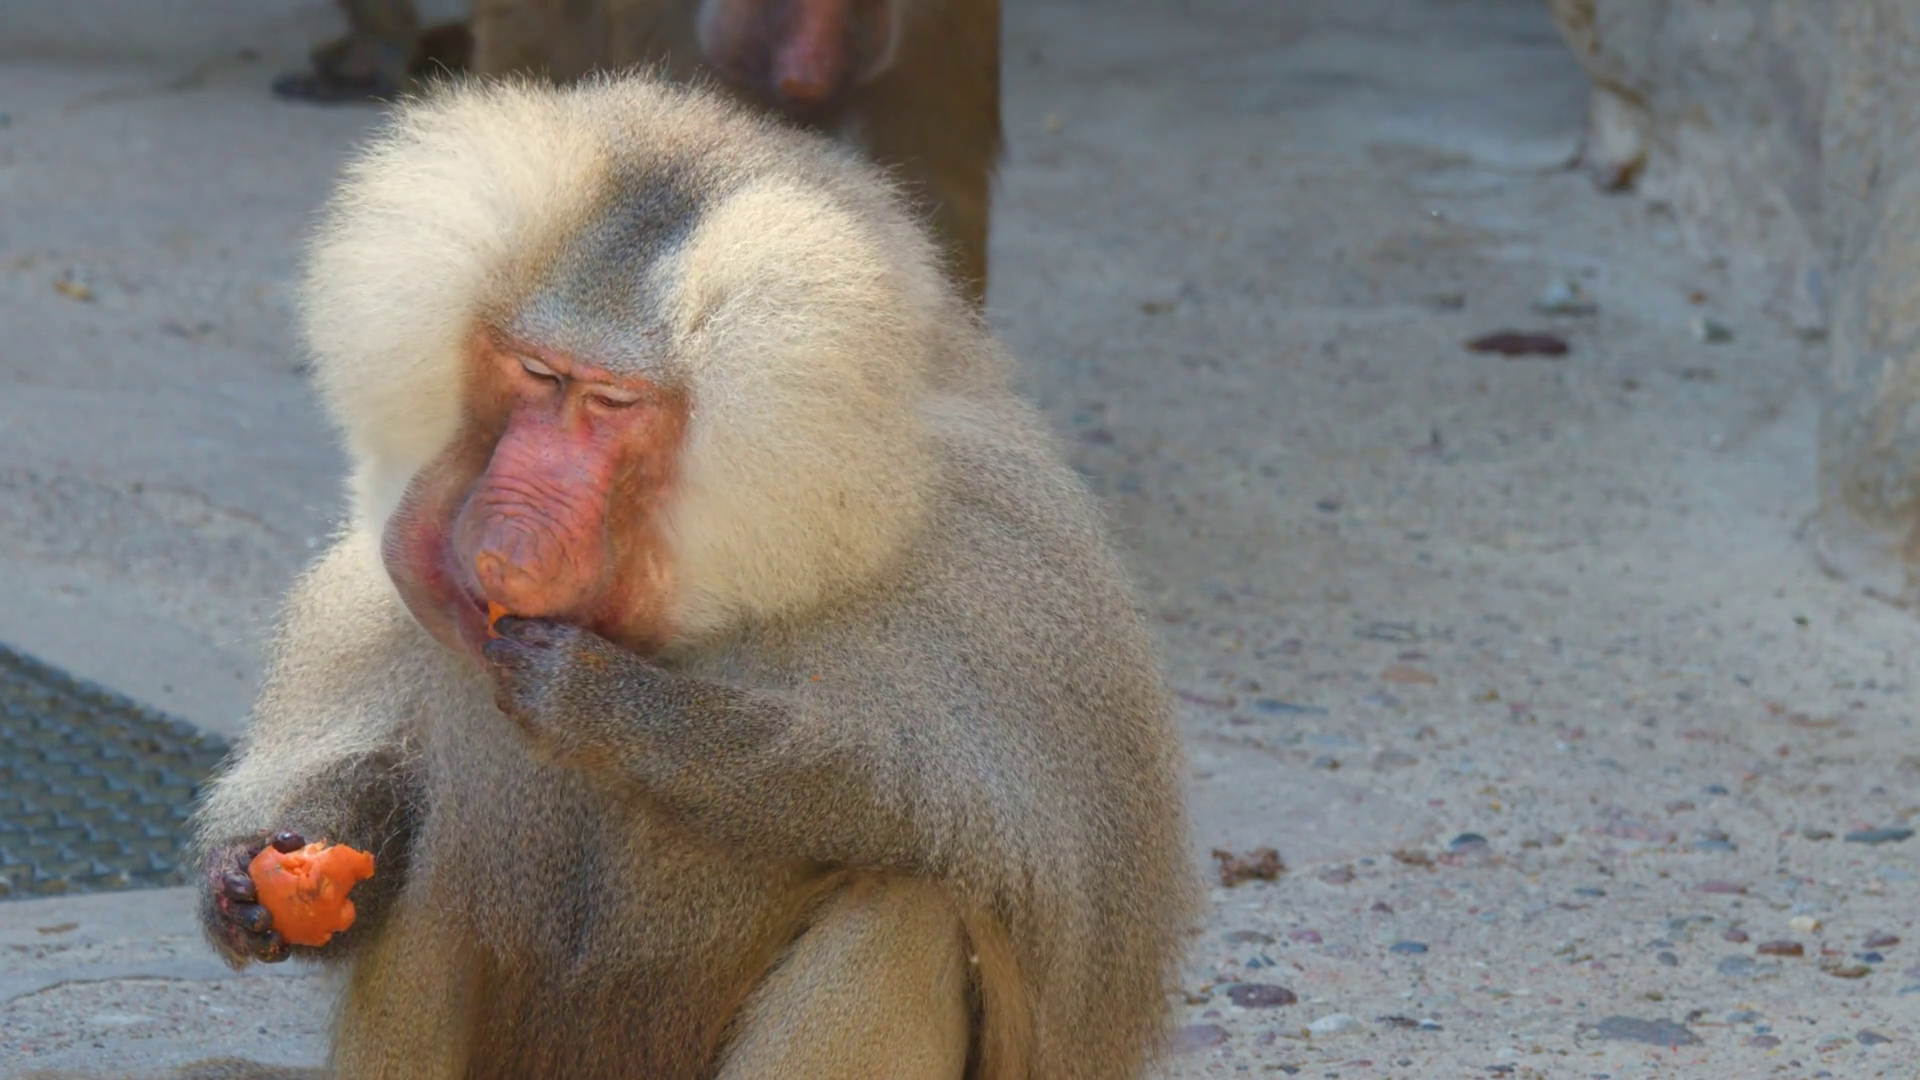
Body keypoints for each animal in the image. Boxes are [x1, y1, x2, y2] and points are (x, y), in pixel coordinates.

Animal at [190, 73, 1193, 1080]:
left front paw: (597, 704)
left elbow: (972, 859)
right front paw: (255, 883)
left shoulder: (1000, 583)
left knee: (913, 911)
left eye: (610, 402)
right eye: (537, 374)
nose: (503, 543)